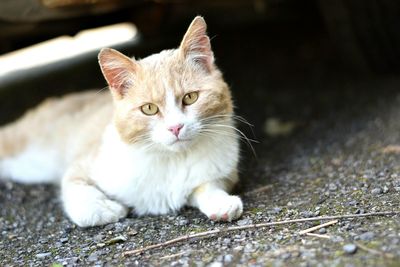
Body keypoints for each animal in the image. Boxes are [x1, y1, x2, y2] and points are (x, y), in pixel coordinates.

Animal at [0, 15, 244, 227]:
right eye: (149, 109)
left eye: (190, 97)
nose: (175, 127)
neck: (171, 159)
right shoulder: (83, 165)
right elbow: (78, 192)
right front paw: (107, 209)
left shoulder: (221, 175)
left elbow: (206, 185)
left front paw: (220, 201)